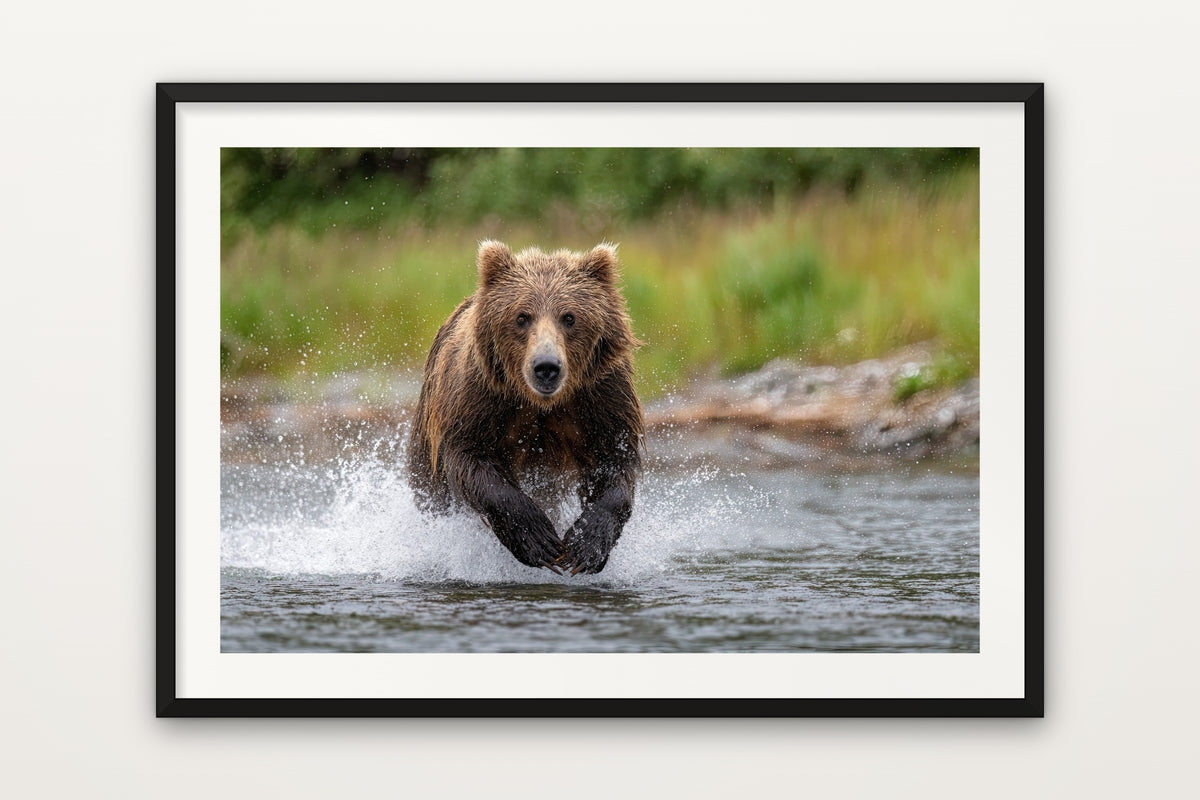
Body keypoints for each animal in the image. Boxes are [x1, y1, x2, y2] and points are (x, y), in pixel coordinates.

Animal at [407, 240, 643, 575]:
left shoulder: (601, 395)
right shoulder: (480, 396)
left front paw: (585, 546)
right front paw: (538, 540)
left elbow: (614, 461)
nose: (546, 367)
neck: (542, 403)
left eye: (569, 317)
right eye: (522, 316)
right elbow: (470, 458)